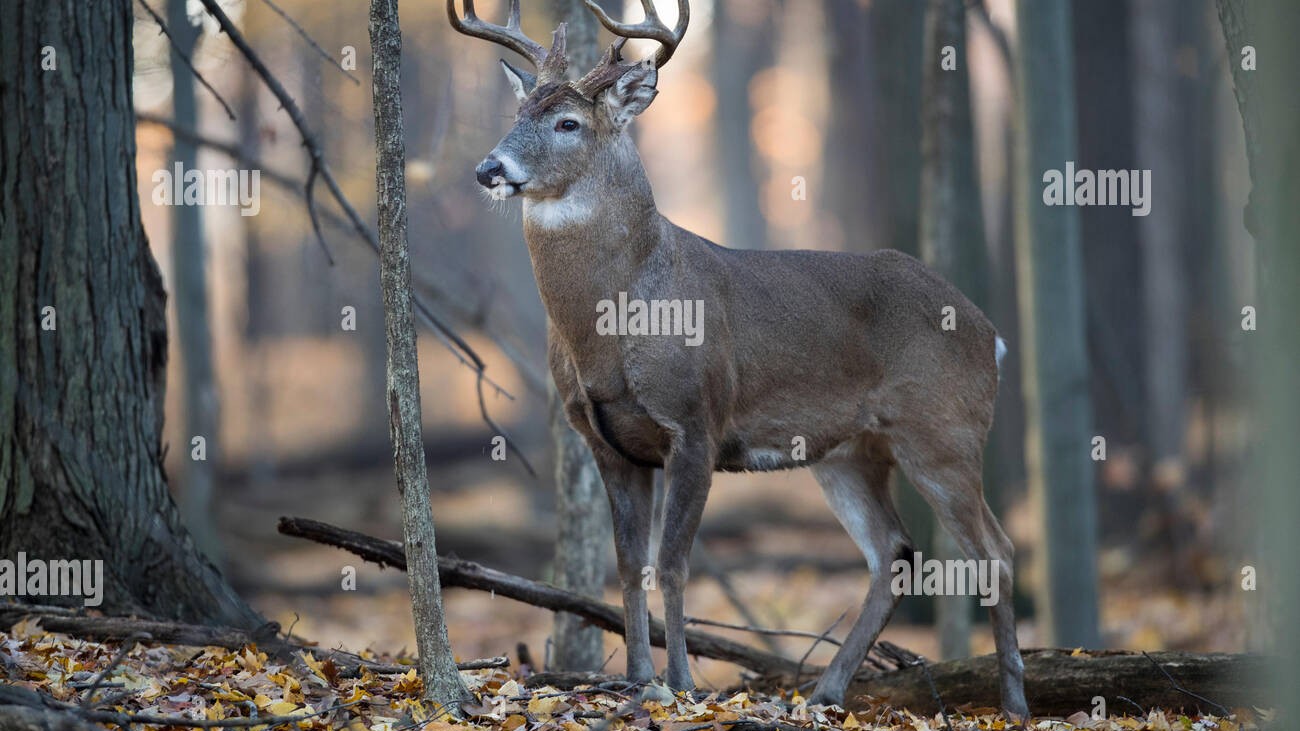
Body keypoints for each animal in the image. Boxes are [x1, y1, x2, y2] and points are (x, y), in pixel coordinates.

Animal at [448, 0, 1029, 718]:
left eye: (567, 122)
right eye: (518, 112)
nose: (489, 170)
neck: (613, 321)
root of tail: (990, 333)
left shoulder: (697, 421)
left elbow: (672, 562)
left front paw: (681, 683)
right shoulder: (607, 441)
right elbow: (628, 564)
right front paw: (637, 678)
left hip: (943, 429)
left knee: (996, 550)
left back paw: (1014, 702)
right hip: (848, 452)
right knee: (892, 552)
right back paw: (825, 690)